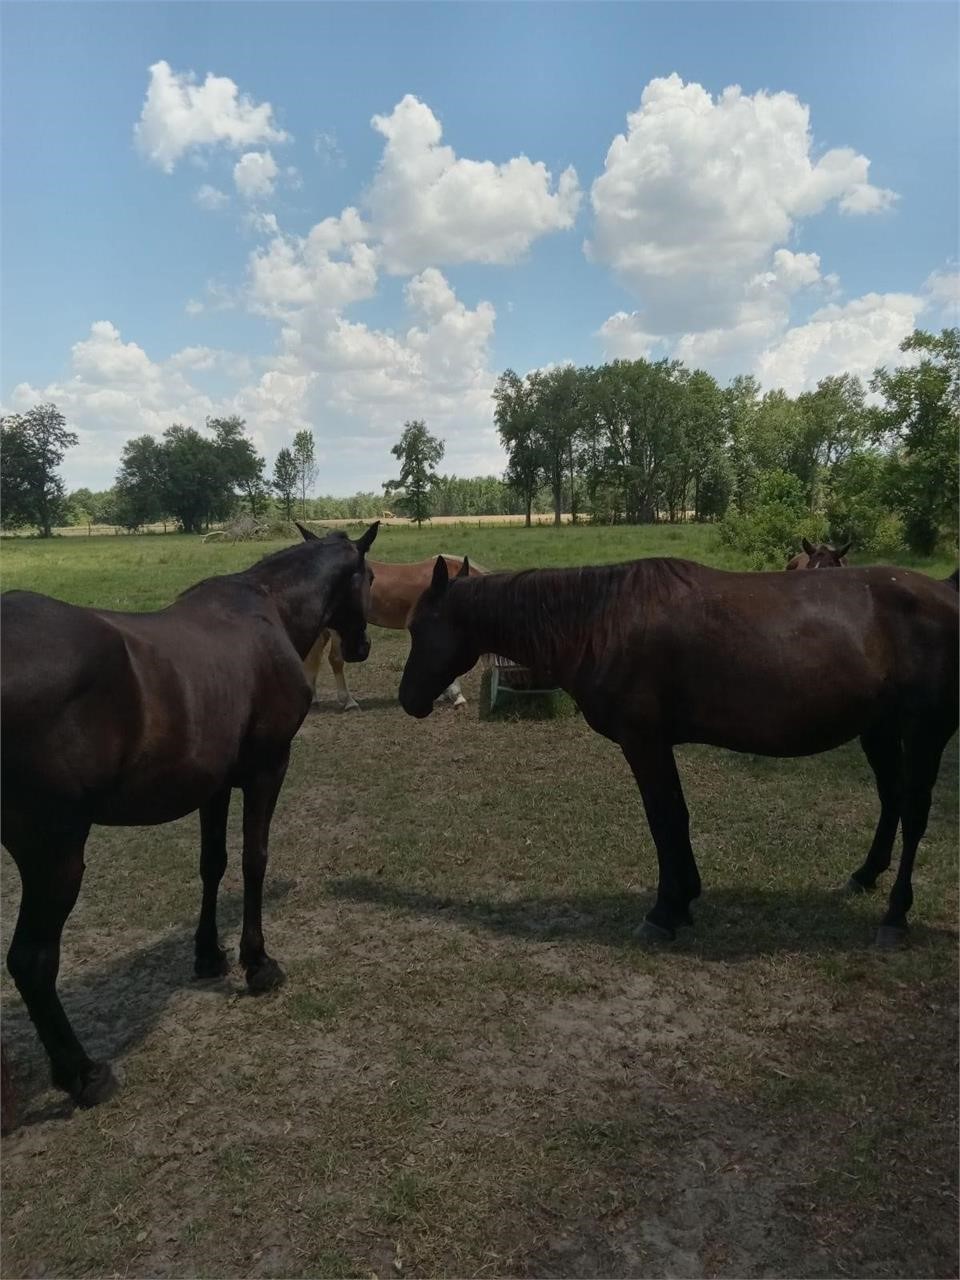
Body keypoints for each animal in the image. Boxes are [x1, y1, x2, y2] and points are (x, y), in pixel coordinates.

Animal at [1, 517, 378, 1111]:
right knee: (32, 961)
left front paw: (208, 955)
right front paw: (257, 963)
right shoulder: (269, 768)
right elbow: (253, 859)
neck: (268, 607)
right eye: (370, 576)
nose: (361, 647)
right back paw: (82, 1072)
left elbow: (212, 864)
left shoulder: (214, 783)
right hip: (54, 854)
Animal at [399, 555, 960, 947]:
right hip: (879, 730)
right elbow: (675, 816)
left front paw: (665, 911)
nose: (409, 700)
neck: (603, 620)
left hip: (926, 732)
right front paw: (685, 898)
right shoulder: (656, 745)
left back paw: (895, 916)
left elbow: (664, 818)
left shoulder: (645, 743)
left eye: (418, 628)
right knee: (891, 800)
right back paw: (865, 876)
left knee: (914, 812)